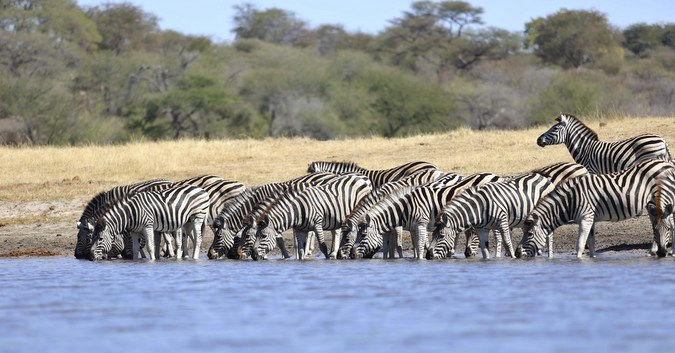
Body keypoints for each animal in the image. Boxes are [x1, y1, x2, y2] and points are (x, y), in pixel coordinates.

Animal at [352, 173, 504, 258]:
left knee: (497, 235)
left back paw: (498, 256)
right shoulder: (412, 227)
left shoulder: (419, 223)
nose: (351, 255)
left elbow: (407, 244)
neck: (404, 208)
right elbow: (410, 244)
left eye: (363, 235)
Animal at [428, 171, 556, 258]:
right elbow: (484, 249)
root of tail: (543, 177)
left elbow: (507, 243)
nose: (428, 255)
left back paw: (550, 257)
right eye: (433, 234)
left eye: (441, 236)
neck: (479, 207)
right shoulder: (482, 229)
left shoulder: (503, 222)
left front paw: (513, 258)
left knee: (549, 236)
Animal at [516, 158, 675, 258]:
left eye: (529, 234)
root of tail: (666, 163)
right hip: (652, 204)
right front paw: (592, 259)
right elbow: (591, 243)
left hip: (665, 199)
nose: (517, 253)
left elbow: (580, 245)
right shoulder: (591, 218)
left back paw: (671, 252)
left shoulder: (586, 218)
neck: (571, 200)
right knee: (658, 224)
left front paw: (579, 260)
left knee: (671, 224)